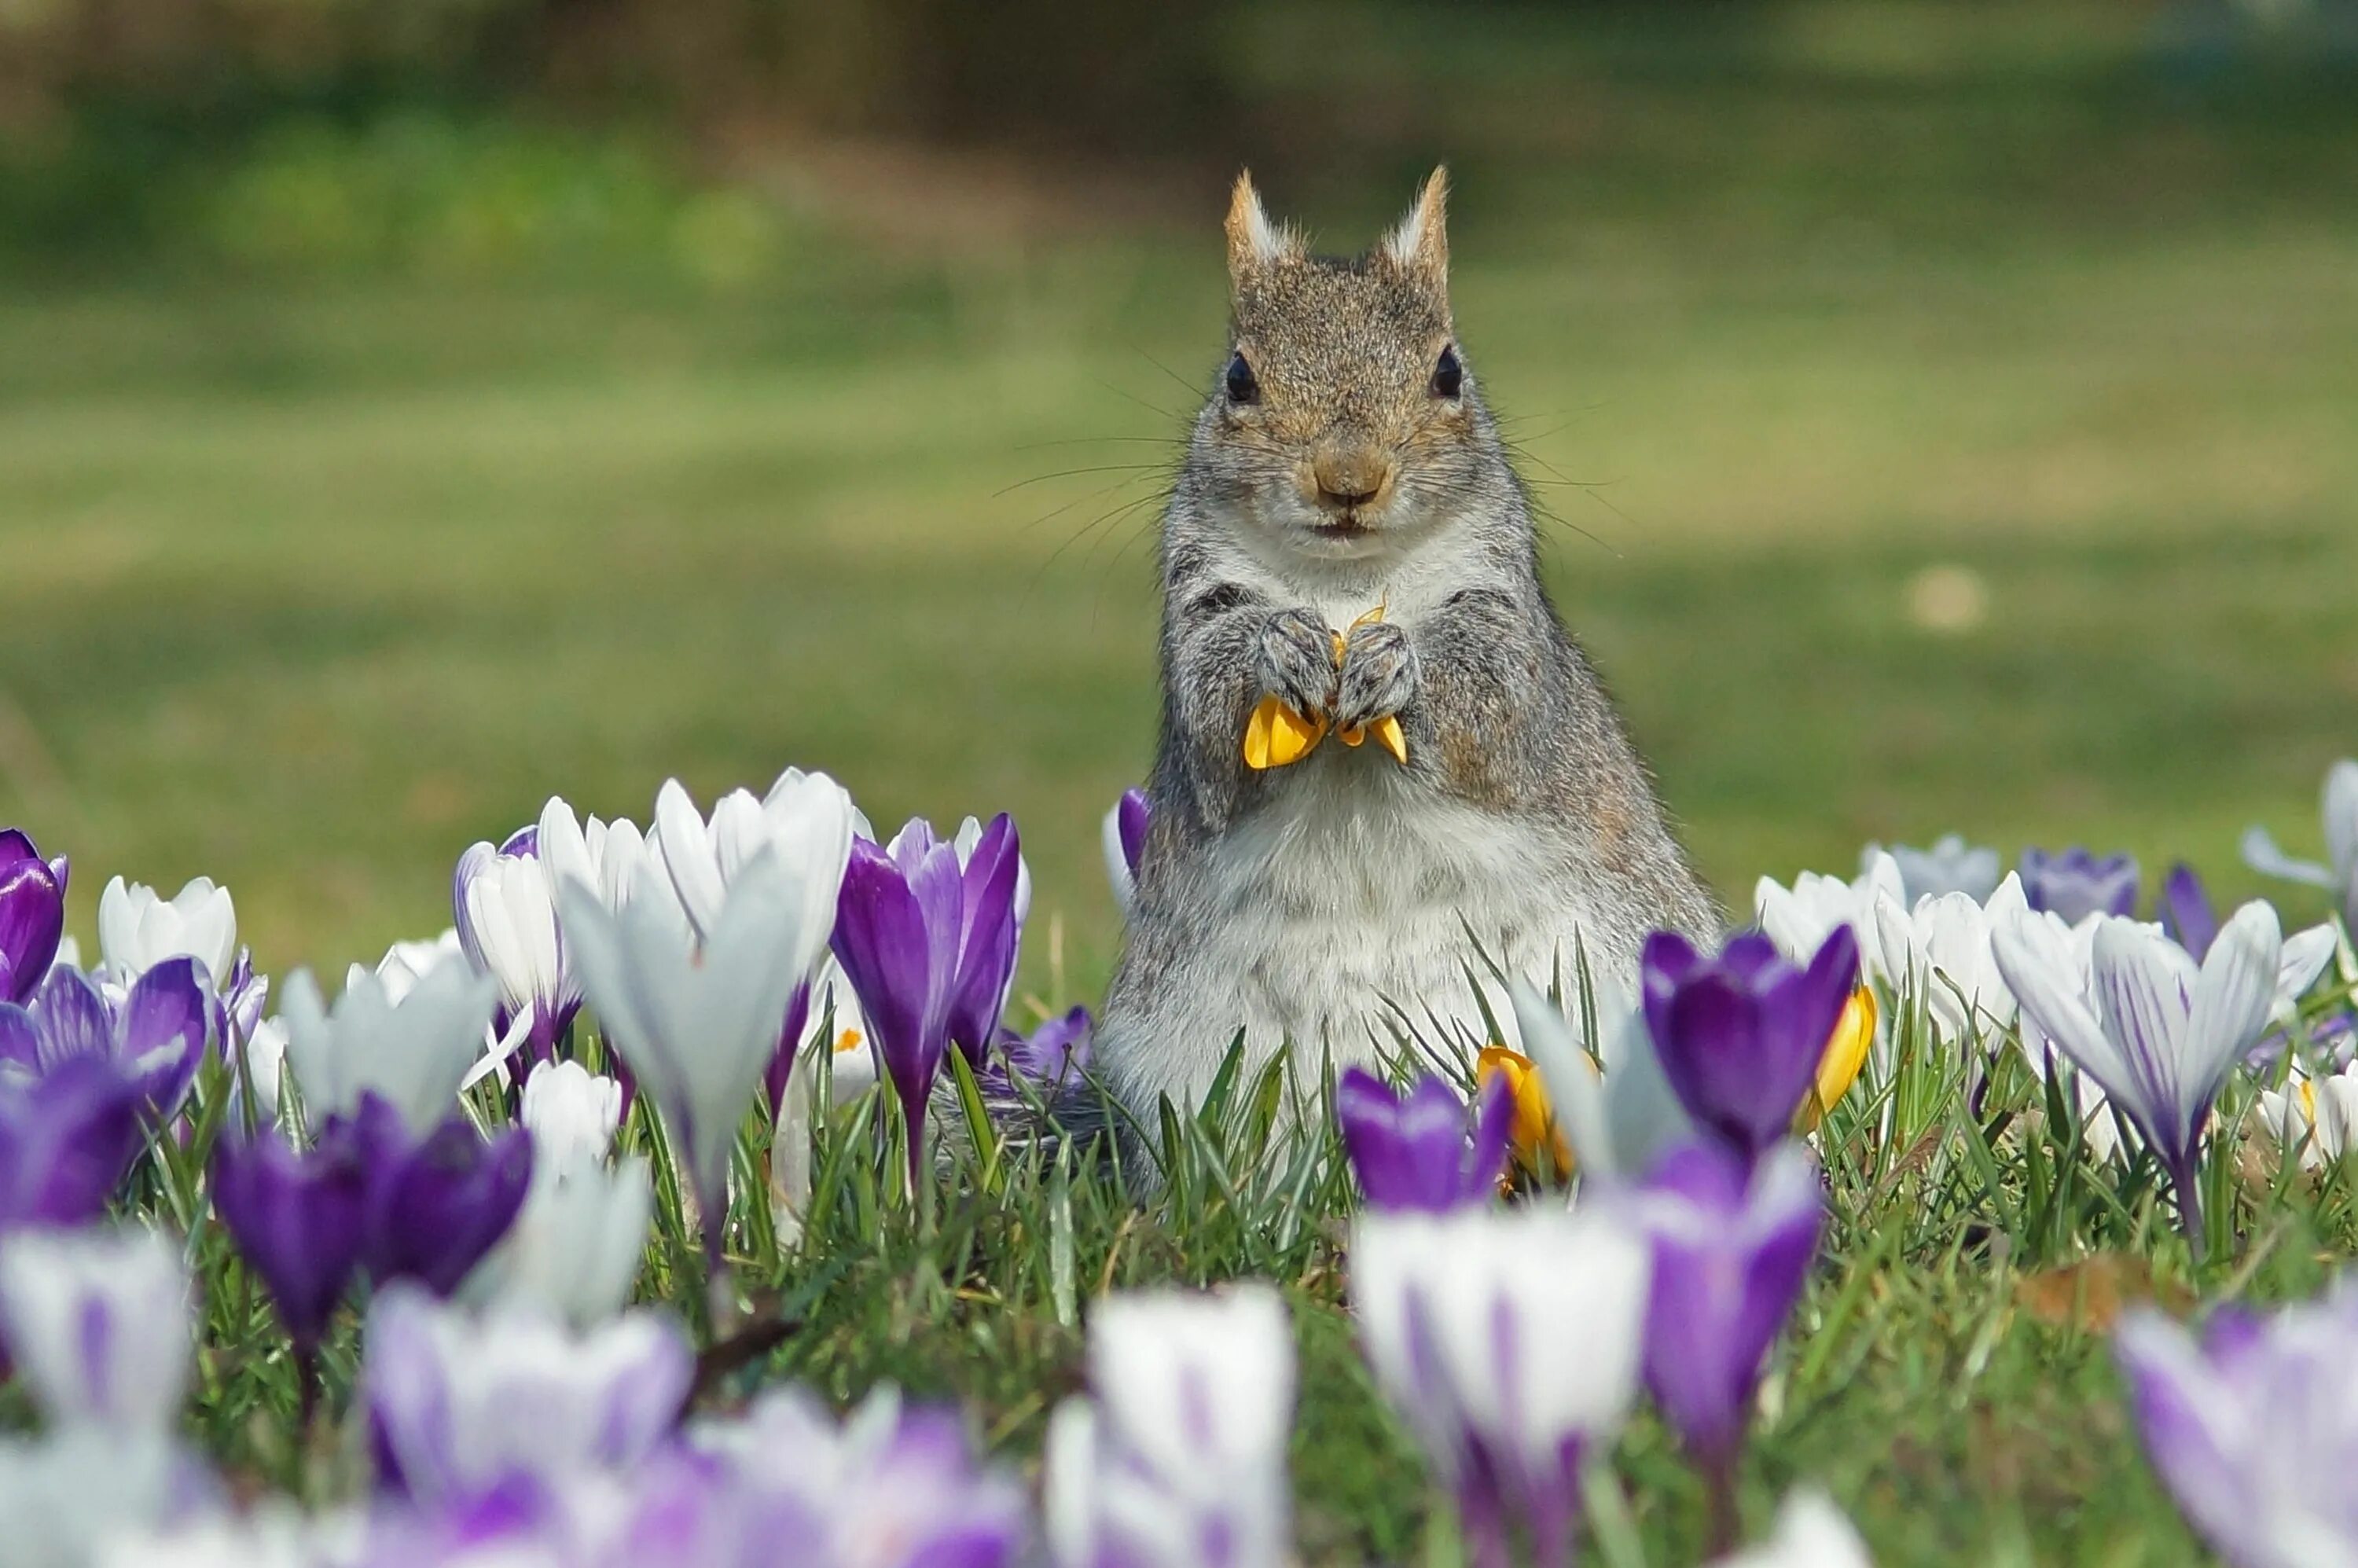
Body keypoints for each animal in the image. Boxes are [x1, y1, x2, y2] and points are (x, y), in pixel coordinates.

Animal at [1094, 168, 1726, 1127]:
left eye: (1447, 371)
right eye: (1239, 377)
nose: (1347, 481)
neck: (1346, 585)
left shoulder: (1499, 614)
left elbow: (1492, 706)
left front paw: (1397, 667)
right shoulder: (1199, 610)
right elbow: (1215, 725)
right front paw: (1282, 650)